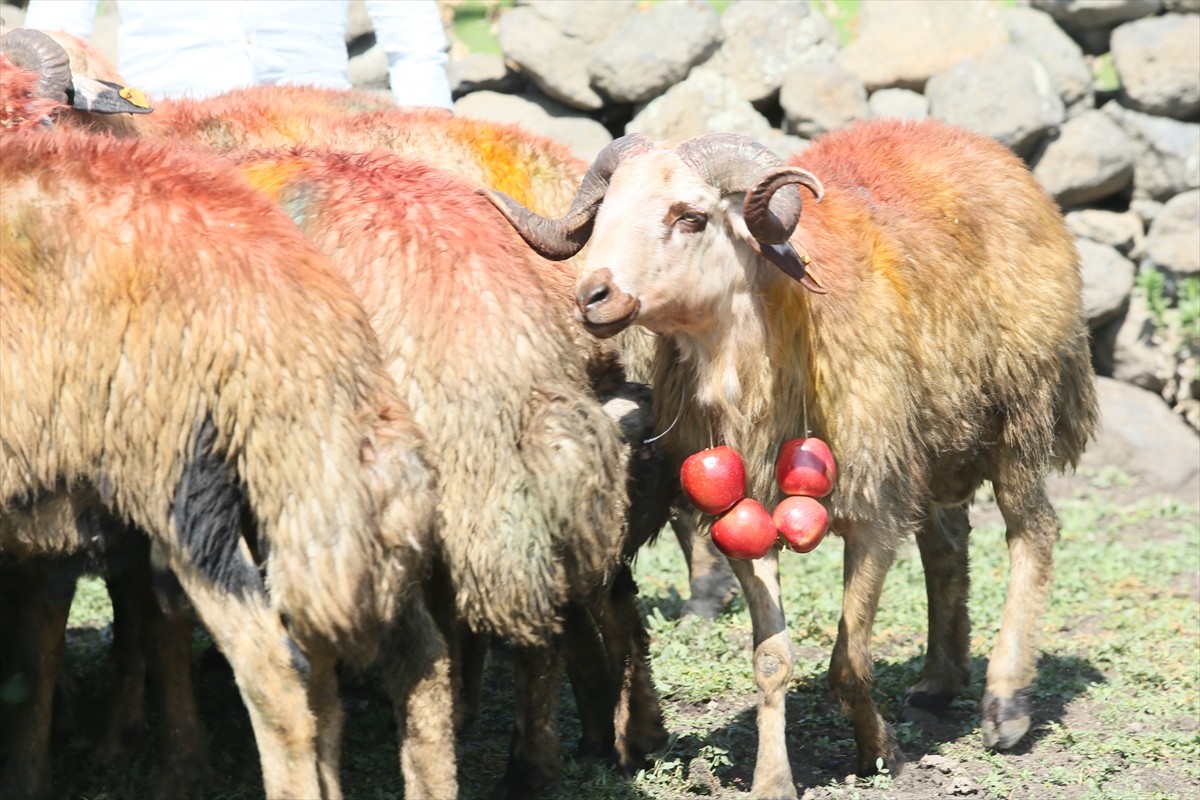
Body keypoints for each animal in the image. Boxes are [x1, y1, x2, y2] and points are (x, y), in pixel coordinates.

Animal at [484, 120, 1099, 800]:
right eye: (605, 214)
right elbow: (770, 660)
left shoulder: (872, 510)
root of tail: (986, 148)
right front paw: (773, 780)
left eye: (690, 217)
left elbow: (848, 664)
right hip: (933, 438)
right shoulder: (744, 517)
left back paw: (1007, 704)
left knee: (1032, 533)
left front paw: (883, 756)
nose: (593, 296)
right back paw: (938, 684)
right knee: (945, 547)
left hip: (1022, 409)